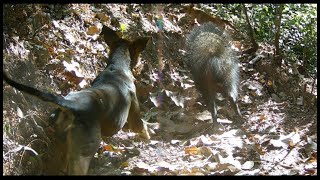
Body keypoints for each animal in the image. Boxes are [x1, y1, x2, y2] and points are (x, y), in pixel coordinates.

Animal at [3, 25, 151, 174]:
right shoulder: (134, 116)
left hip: (61, 141)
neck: (117, 67)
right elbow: (142, 127)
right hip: (83, 153)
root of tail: (71, 105)